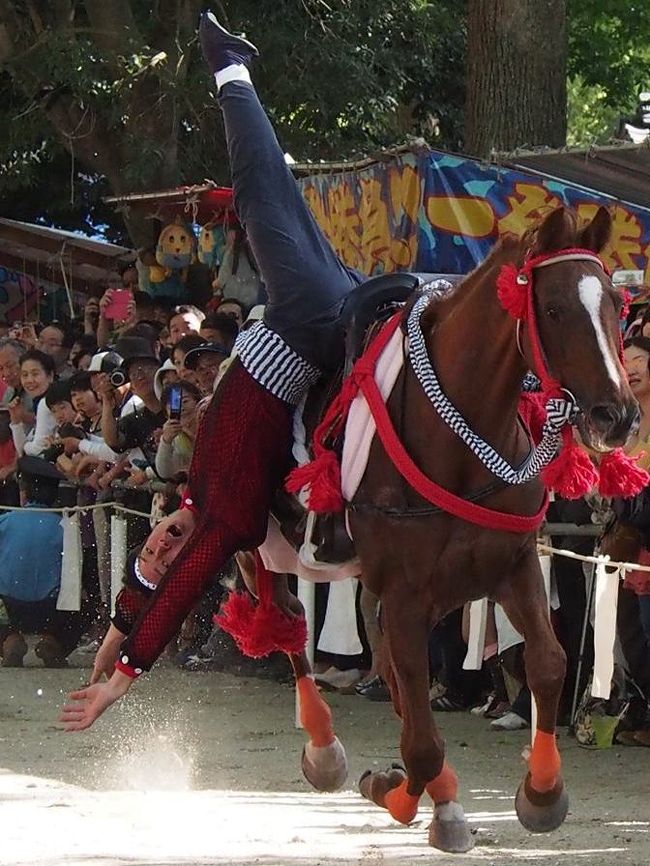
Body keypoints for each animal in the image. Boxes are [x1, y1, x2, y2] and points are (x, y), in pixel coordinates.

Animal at [342, 206, 636, 852]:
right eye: (553, 308)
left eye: (613, 304)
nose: (620, 416)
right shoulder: (406, 593)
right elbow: (421, 739)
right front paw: (406, 795)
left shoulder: (514, 565)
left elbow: (548, 662)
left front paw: (542, 795)